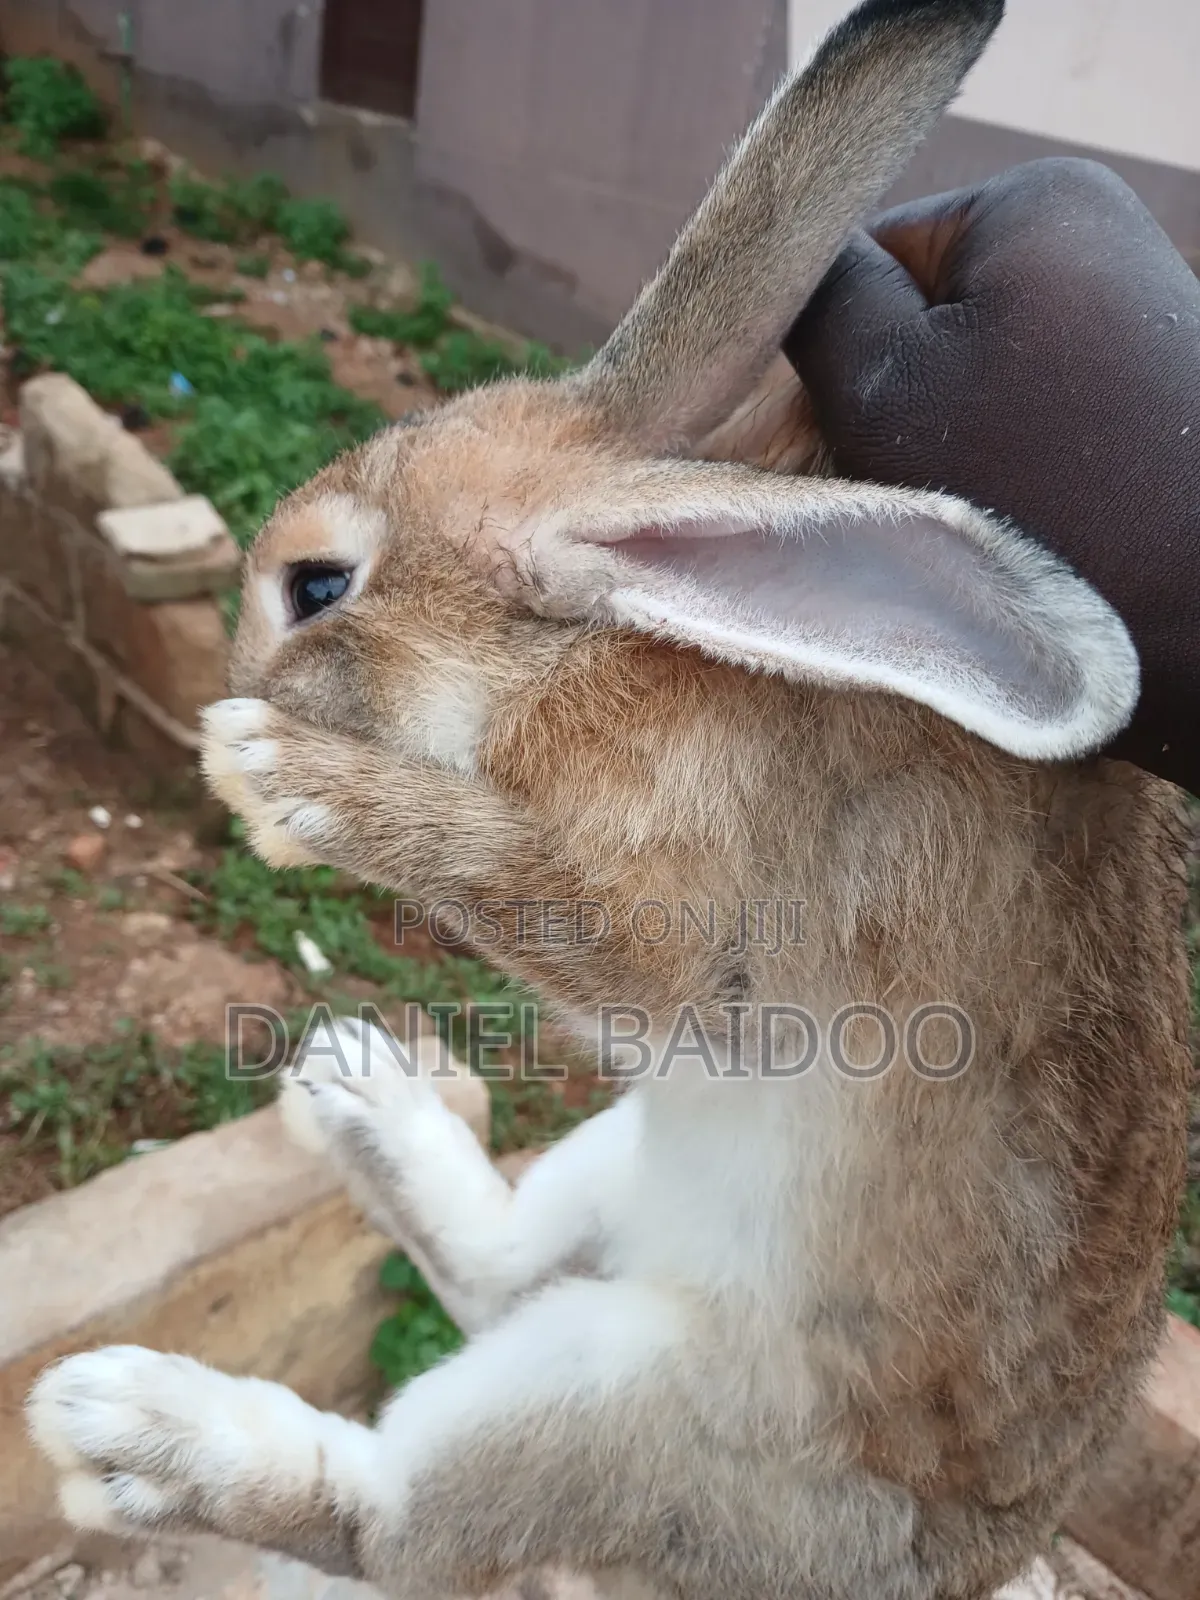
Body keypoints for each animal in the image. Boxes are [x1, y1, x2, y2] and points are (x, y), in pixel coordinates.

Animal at [26, 2, 1193, 1598]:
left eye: (318, 586)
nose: (240, 679)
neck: (595, 647)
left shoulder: (715, 953)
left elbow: (573, 918)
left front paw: (274, 774)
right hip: (615, 1163)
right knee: (498, 1274)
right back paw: (358, 1090)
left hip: (632, 1411)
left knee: (399, 1521)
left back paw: (127, 1428)